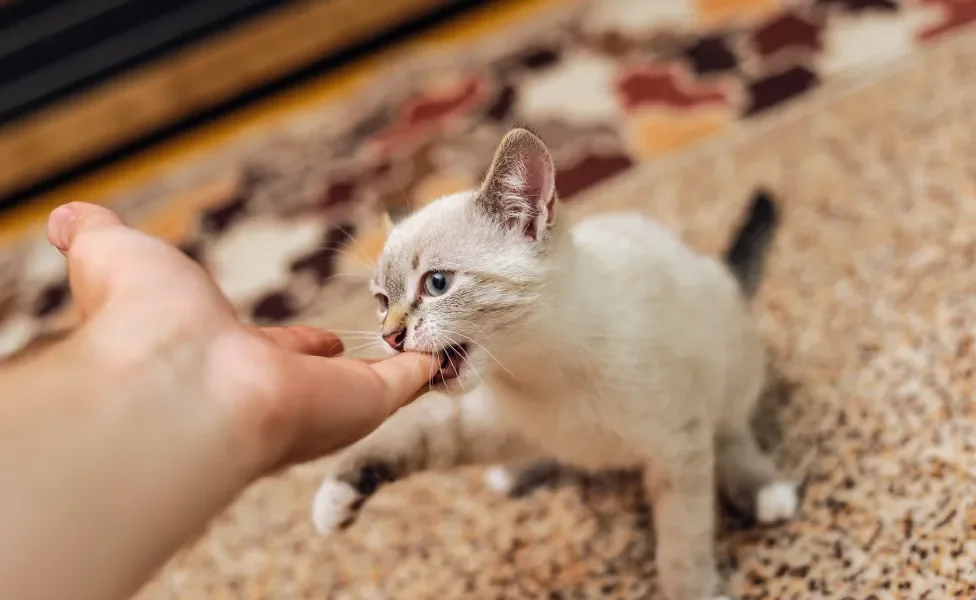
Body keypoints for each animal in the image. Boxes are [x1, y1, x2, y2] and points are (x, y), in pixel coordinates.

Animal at [312, 129, 792, 596]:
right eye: (381, 302)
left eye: (437, 284)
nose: (389, 337)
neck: (536, 370)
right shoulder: (484, 417)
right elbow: (406, 438)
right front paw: (335, 497)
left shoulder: (677, 445)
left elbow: (682, 545)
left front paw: (690, 588)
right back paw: (516, 472)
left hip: (726, 371)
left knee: (729, 430)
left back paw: (765, 490)